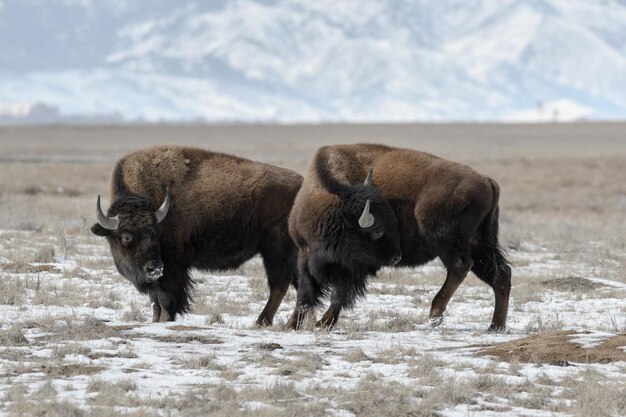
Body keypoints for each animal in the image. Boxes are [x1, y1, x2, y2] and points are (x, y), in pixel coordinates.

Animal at [90, 145, 302, 324]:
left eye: (155, 234)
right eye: (126, 237)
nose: (153, 269)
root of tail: (302, 185)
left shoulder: (172, 268)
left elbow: (166, 298)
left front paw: (165, 320)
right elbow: (155, 300)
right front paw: (154, 321)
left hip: (276, 252)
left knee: (282, 284)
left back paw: (266, 323)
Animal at [286, 144, 510, 332]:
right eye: (378, 231)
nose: (396, 257)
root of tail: (487, 181)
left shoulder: (350, 268)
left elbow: (337, 295)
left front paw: (322, 323)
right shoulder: (305, 256)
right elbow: (304, 295)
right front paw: (291, 325)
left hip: (446, 239)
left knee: (460, 267)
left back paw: (435, 314)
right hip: (479, 244)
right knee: (500, 274)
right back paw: (495, 326)